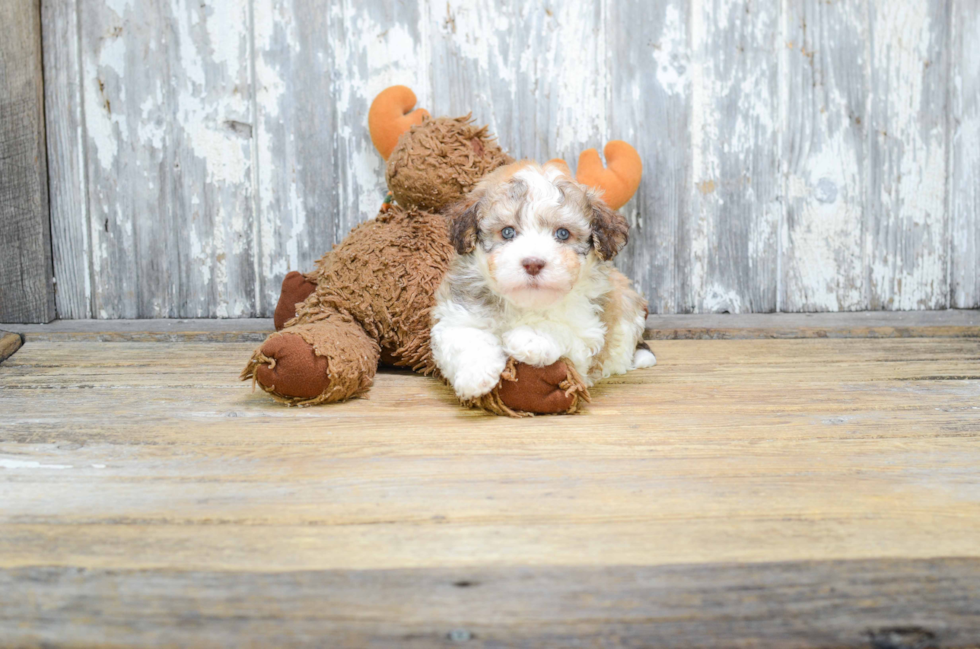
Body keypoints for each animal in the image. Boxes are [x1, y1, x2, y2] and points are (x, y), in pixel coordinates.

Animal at [430, 159, 656, 398]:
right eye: (507, 232)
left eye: (563, 234)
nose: (533, 263)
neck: (526, 303)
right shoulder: (457, 312)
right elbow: (464, 334)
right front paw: (475, 374)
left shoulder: (588, 331)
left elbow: (562, 330)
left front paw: (531, 337)